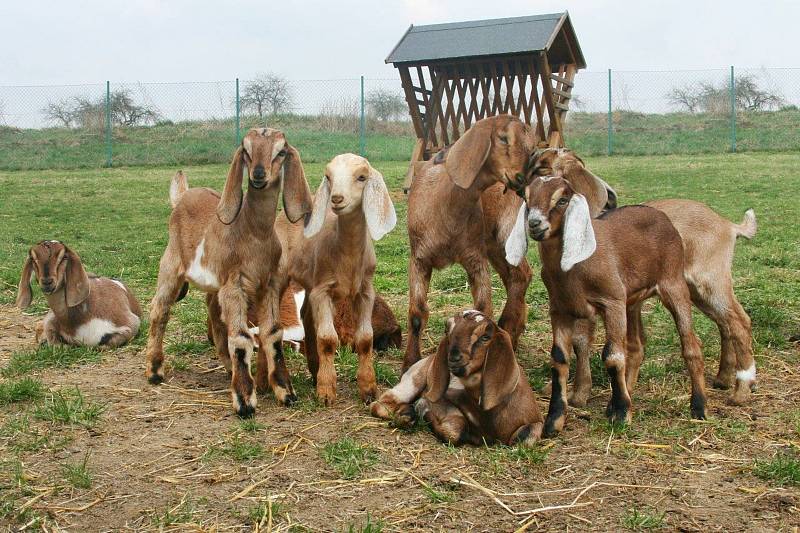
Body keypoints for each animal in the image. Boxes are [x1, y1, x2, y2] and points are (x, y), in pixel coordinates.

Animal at [146, 128, 312, 416]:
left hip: (215, 284)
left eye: (281, 151)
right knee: (160, 309)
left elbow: (273, 333)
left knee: (213, 313)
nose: (258, 174)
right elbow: (242, 339)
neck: (251, 234)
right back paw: (155, 371)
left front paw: (286, 392)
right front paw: (245, 400)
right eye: (246, 150)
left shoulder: (268, 285)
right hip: (171, 265)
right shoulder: (235, 285)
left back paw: (226, 368)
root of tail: (182, 195)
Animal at [278, 153, 396, 404]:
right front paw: (326, 391)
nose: (337, 198)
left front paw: (368, 390)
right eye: (328, 176)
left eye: (362, 177)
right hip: (285, 275)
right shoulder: (323, 290)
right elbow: (328, 339)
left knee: (306, 316)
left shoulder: (365, 291)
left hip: (311, 285)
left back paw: (314, 372)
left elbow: (365, 338)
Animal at [368, 310, 544, 446]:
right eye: (447, 331)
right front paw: (419, 412)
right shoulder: (442, 402)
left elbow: (524, 438)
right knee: (380, 405)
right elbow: (456, 433)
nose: (453, 358)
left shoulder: (534, 423)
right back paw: (406, 415)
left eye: (485, 337)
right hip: (413, 380)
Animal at [506, 177, 708, 434]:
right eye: (526, 197)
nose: (534, 224)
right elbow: (559, 359)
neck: (574, 269)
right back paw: (621, 399)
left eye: (562, 200)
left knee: (691, 344)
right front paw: (554, 421)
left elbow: (612, 356)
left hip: (673, 285)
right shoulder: (559, 309)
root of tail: (659, 215)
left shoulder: (611, 302)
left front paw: (621, 415)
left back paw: (698, 407)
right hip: (631, 301)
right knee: (636, 347)